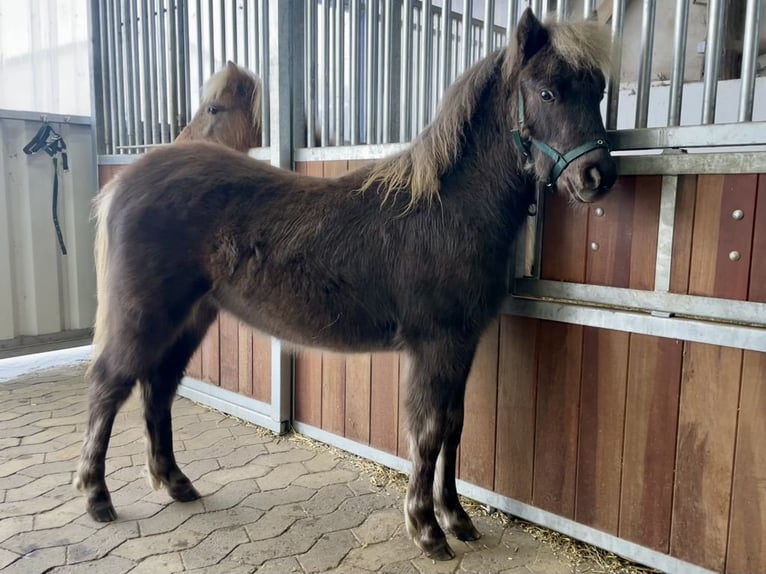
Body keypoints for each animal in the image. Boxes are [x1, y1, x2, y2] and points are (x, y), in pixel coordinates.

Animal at [76, 9, 617, 561]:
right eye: (547, 92)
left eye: (597, 90)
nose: (597, 176)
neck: (447, 208)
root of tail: (127, 182)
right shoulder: (436, 344)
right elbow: (428, 431)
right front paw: (427, 529)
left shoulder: (462, 344)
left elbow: (454, 427)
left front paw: (457, 518)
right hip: (143, 316)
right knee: (109, 386)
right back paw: (98, 498)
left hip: (190, 317)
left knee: (158, 387)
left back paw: (177, 483)